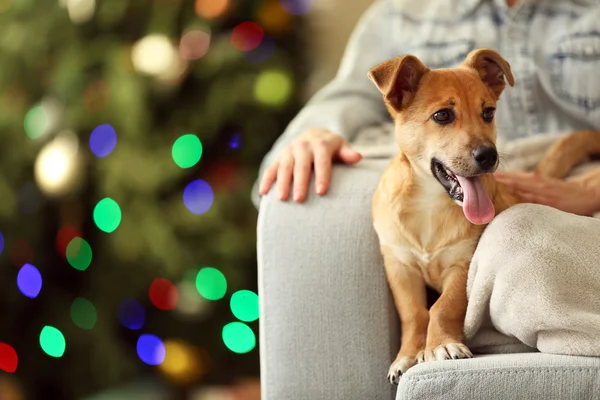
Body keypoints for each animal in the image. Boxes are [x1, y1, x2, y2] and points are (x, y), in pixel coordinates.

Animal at [368, 48, 600, 382]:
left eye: (488, 112)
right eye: (442, 115)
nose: (489, 156)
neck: (430, 205)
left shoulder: (464, 265)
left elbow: (443, 307)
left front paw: (441, 345)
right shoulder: (400, 267)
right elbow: (413, 313)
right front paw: (408, 355)